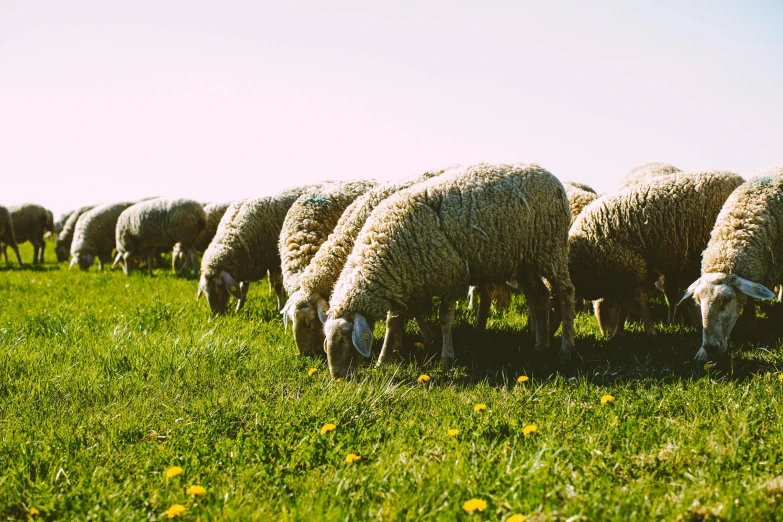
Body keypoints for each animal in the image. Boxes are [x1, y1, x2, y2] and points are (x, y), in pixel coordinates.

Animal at [201, 183, 330, 312]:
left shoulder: (274, 260)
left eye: (219, 286)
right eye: (205, 290)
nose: (216, 313)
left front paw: (280, 307)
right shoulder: (249, 261)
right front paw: (239, 308)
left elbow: (278, 286)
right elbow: (243, 288)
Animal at [320, 162, 576, 378]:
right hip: (526, 260)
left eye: (345, 337)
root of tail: (551, 177)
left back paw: (566, 350)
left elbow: (445, 319)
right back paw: (540, 346)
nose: (337, 376)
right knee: (540, 296)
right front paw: (382, 359)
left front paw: (446, 358)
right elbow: (393, 323)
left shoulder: (450, 277)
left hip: (551, 248)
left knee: (565, 294)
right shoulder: (403, 284)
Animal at [568, 171, 744, 338]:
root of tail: (739, 178)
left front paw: (645, 331)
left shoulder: (630, 269)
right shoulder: (631, 273)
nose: (605, 334)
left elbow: (636, 303)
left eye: (607, 309)